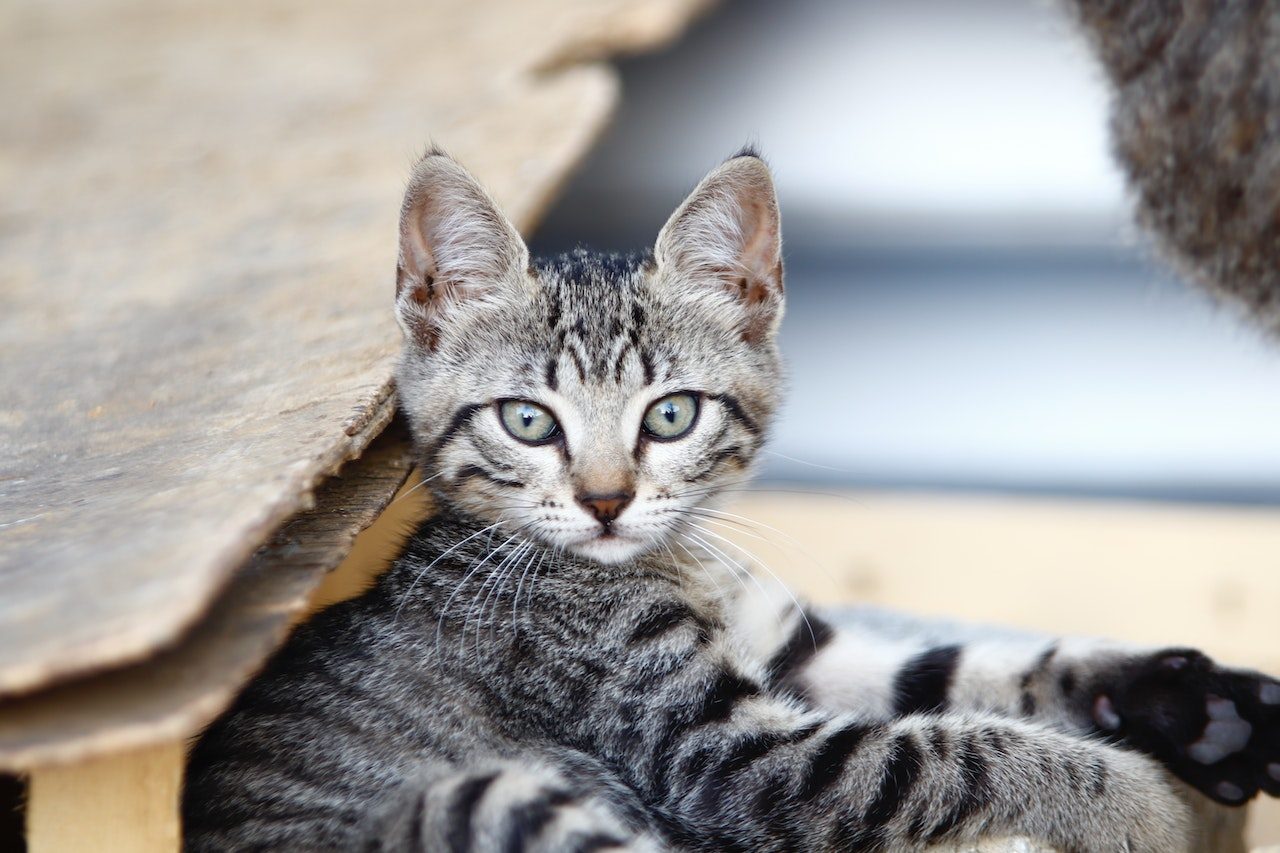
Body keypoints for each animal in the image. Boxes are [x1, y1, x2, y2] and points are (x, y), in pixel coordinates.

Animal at [183, 147, 1280, 850]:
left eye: (669, 416)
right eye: (529, 422)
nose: (606, 501)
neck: (675, 561)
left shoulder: (805, 657)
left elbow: (972, 671)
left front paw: (1197, 704)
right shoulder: (718, 748)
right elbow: (943, 747)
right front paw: (1129, 800)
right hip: (476, 796)